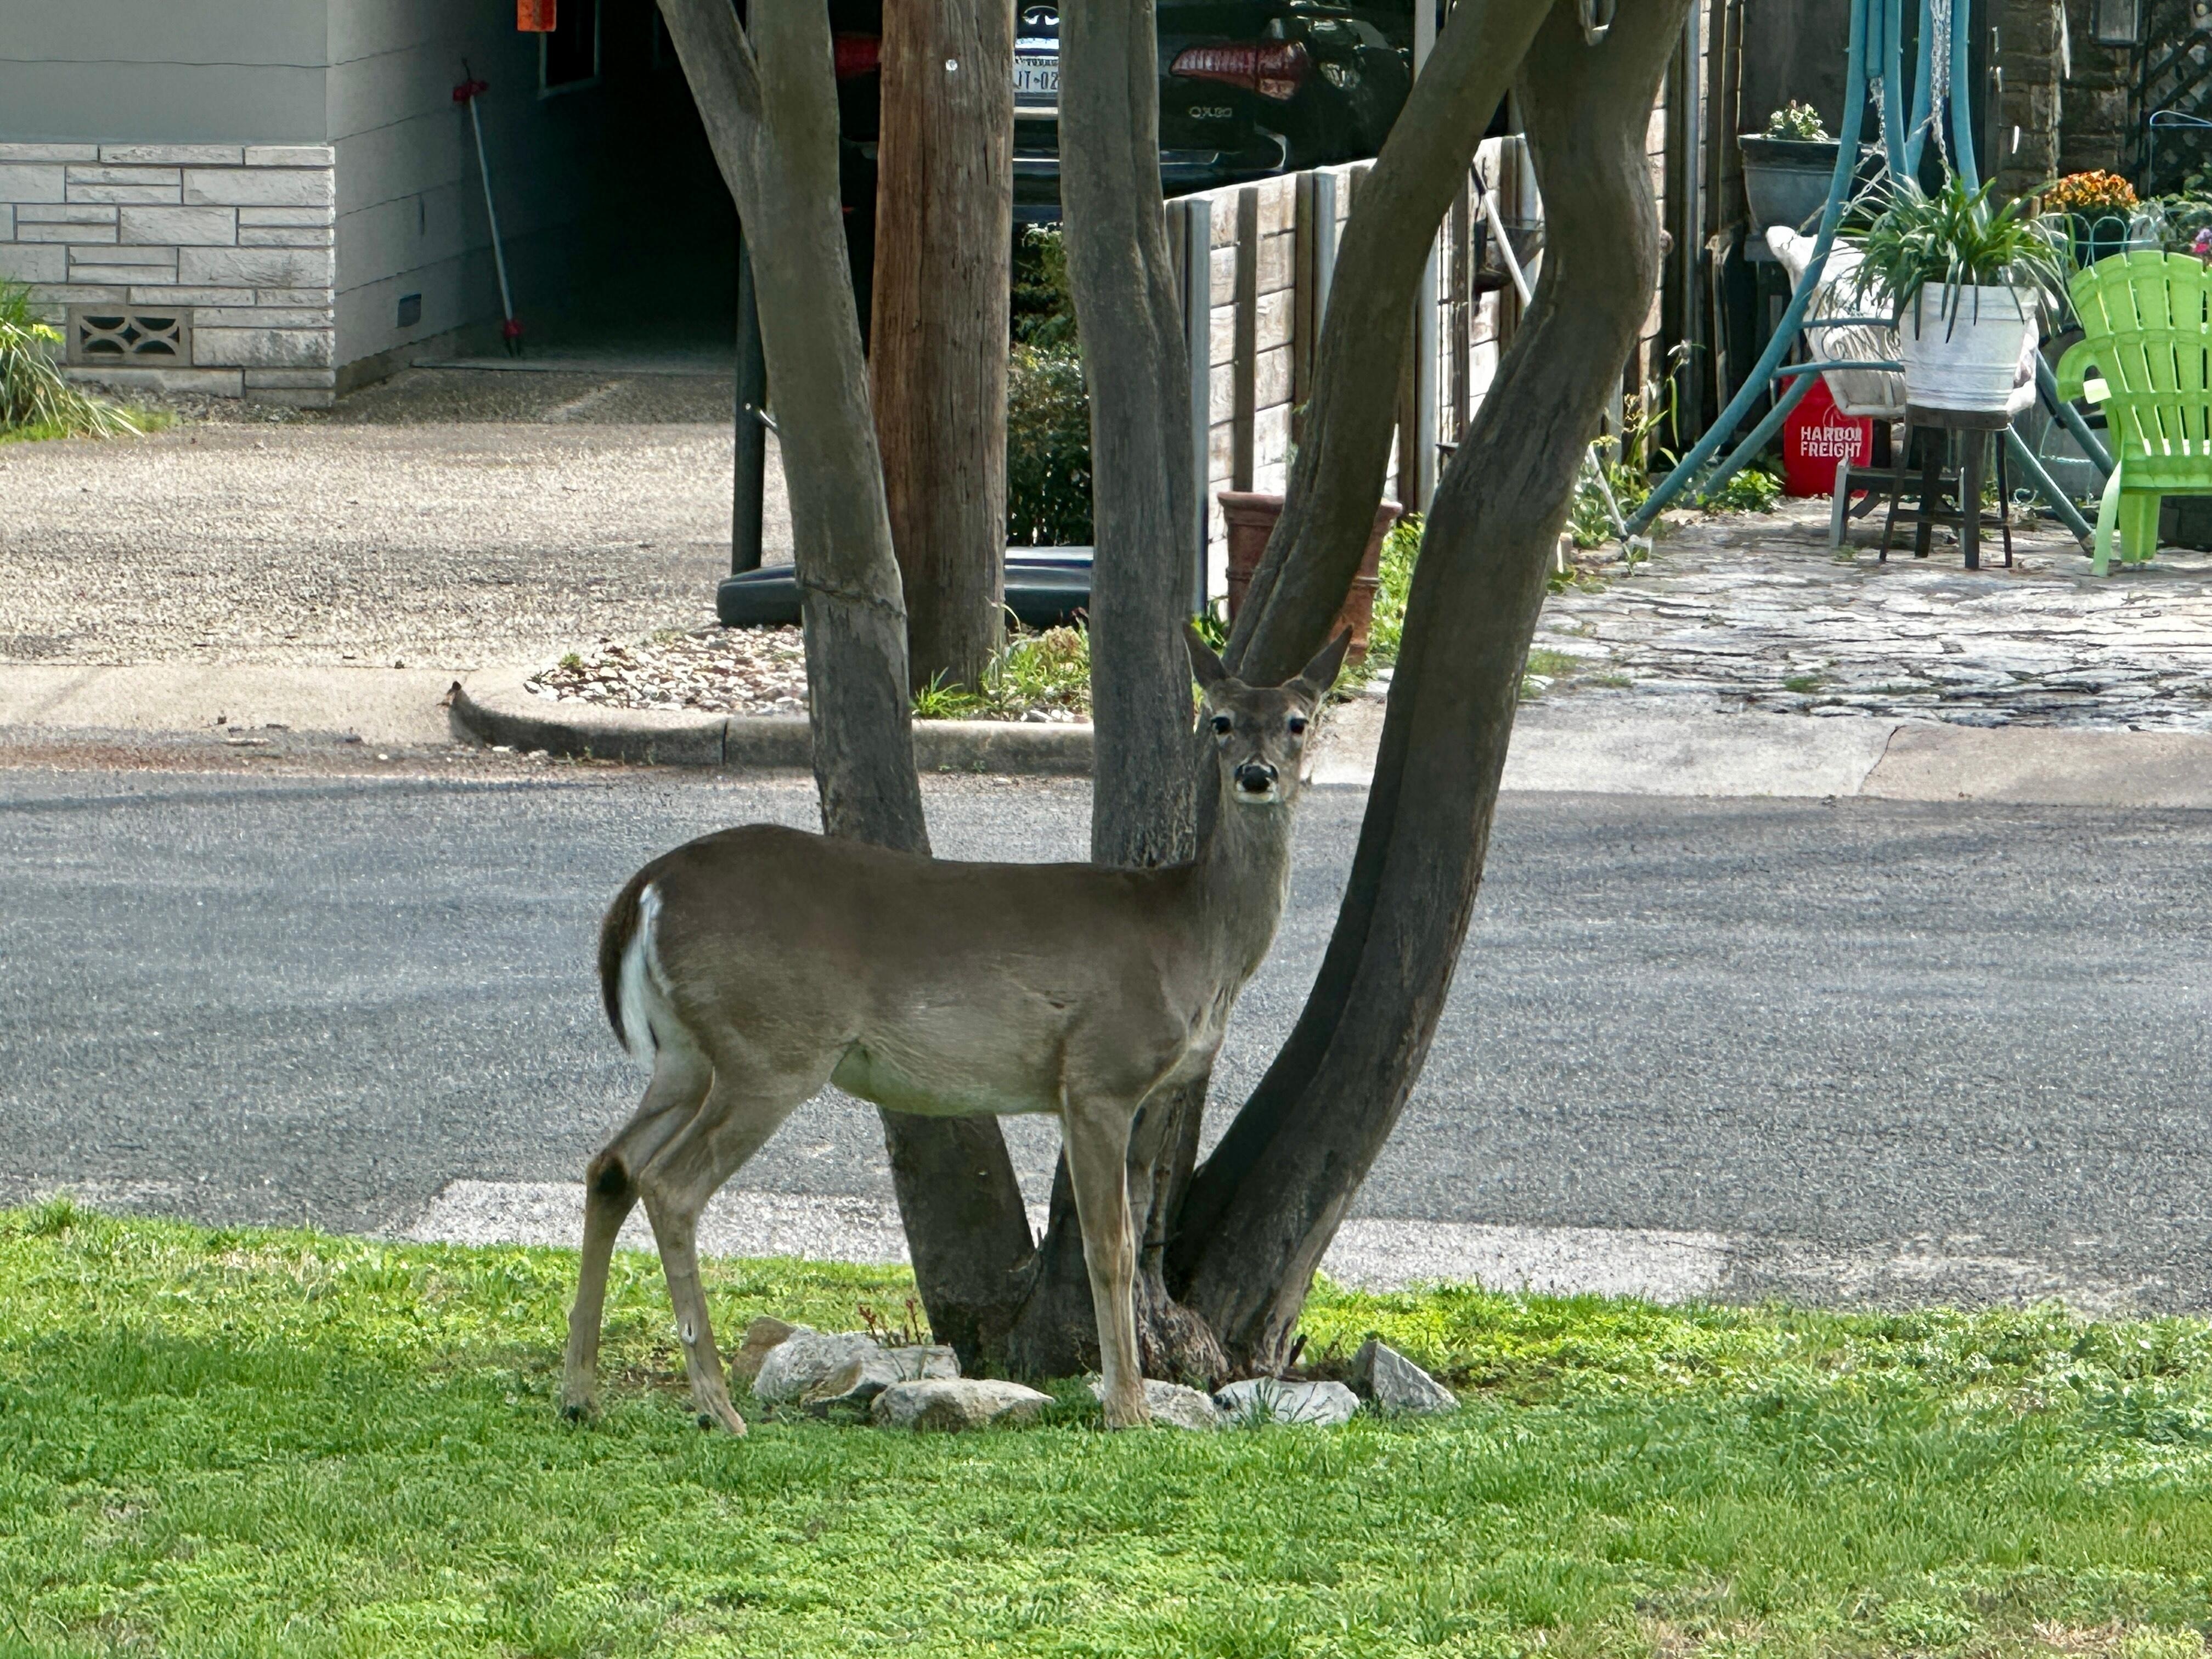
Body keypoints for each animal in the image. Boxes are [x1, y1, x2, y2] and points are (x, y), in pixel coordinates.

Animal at [560, 623, 1350, 1432]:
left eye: (1298, 720)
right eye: (1219, 721)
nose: (1256, 775)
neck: (1192, 934)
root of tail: (646, 890)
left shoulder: (1143, 1091)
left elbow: (1132, 1242)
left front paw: (1128, 1397)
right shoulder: (1099, 1074)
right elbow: (1110, 1247)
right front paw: (1127, 1410)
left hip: (686, 1054)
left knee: (611, 1167)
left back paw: (580, 1395)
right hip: (771, 1048)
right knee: (670, 1184)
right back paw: (717, 1409)